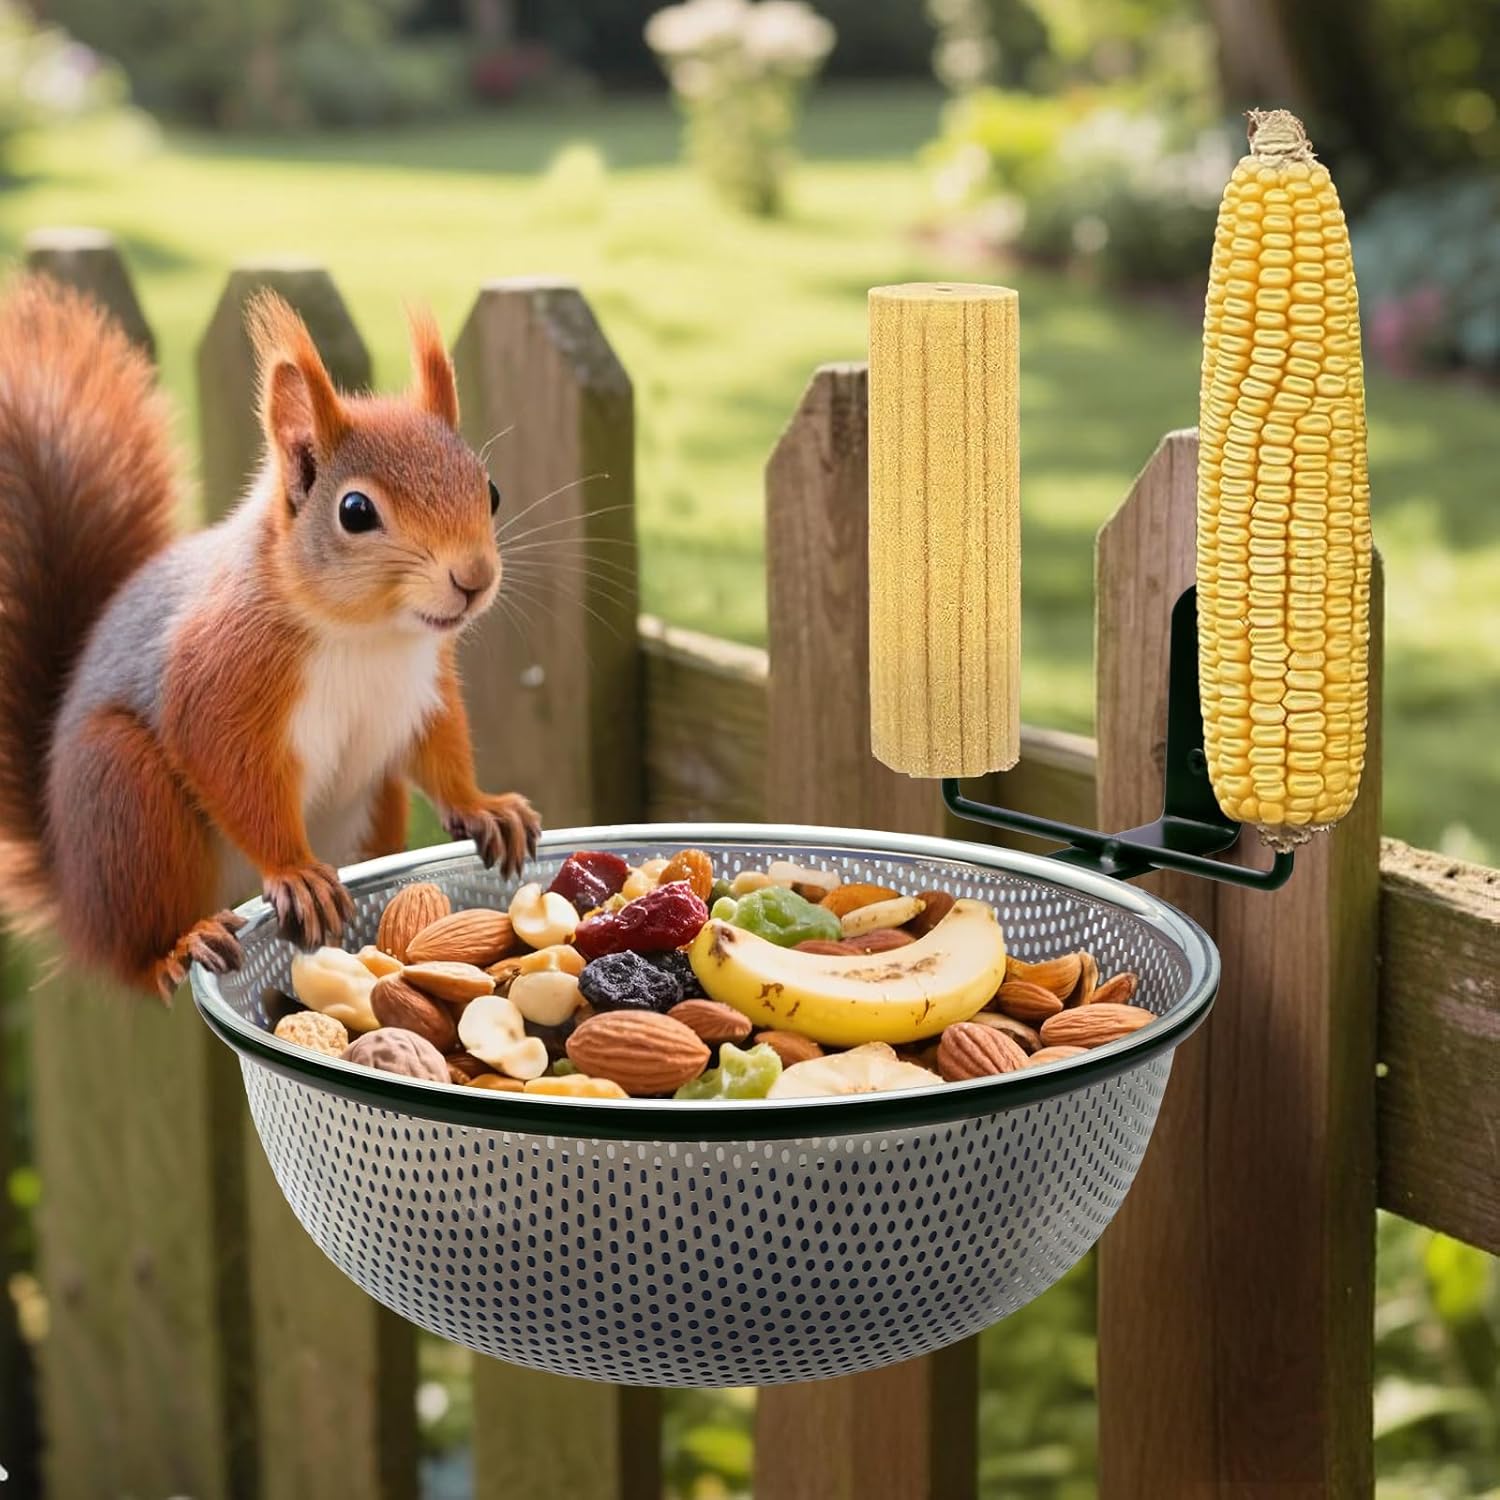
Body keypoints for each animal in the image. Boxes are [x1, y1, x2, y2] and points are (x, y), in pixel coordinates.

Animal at [0, 274, 541, 999]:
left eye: (492, 491)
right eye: (355, 511)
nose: (474, 579)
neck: (370, 636)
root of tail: (76, 899)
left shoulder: (423, 686)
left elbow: (440, 747)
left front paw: (483, 807)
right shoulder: (221, 674)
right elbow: (229, 767)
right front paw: (294, 871)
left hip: (374, 805)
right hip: (126, 802)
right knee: (138, 952)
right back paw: (177, 946)